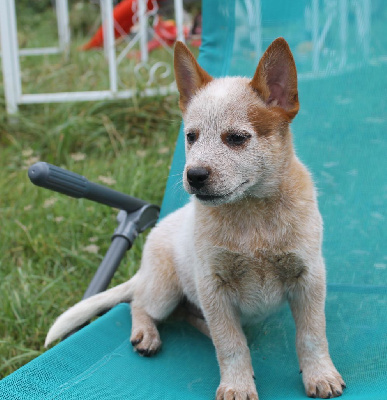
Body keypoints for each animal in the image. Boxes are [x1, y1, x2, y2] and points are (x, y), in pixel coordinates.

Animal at [44, 38, 346, 400]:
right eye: (191, 136)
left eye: (237, 138)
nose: (194, 175)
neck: (252, 218)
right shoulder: (213, 286)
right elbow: (230, 344)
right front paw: (237, 385)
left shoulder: (309, 277)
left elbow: (312, 335)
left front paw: (320, 374)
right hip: (164, 291)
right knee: (139, 303)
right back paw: (147, 333)